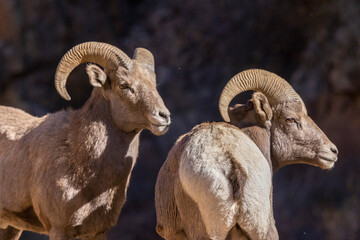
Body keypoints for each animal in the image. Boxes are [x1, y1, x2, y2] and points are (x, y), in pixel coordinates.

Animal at [0, 41, 172, 240]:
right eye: (123, 85)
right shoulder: (59, 230)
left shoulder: (97, 232)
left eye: (154, 83)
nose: (163, 116)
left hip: (10, 228)